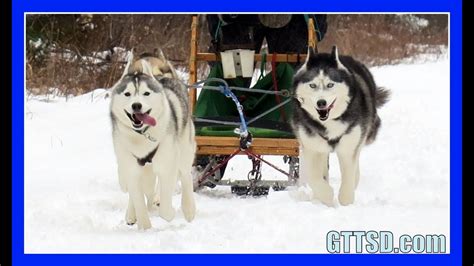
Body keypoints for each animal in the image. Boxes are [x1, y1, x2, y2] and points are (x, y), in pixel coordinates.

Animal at [110, 49, 195, 229]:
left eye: (146, 93)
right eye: (127, 94)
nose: (136, 105)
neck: (142, 135)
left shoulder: (166, 164)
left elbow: (165, 204)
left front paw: (167, 213)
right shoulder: (131, 167)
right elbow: (137, 197)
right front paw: (144, 226)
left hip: (184, 151)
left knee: (185, 175)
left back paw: (188, 208)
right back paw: (132, 213)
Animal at [292, 46, 388, 207]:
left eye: (330, 84)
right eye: (312, 85)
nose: (321, 103)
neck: (329, 122)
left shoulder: (349, 147)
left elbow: (348, 175)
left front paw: (345, 203)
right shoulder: (311, 148)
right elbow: (314, 177)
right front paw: (326, 196)